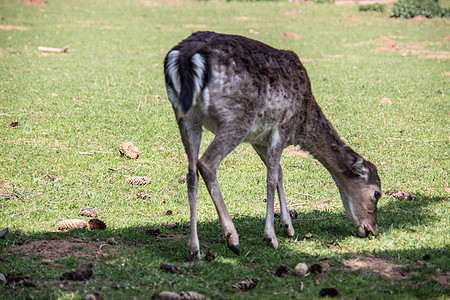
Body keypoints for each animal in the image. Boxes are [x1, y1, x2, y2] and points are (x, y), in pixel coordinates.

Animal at [163, 31, 382, 260]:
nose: (372, 229)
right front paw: (271, 237)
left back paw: (194, 249)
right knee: (206, 164)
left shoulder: (259, 139)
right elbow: (272, 178)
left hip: (185, 117)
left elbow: (278, 172)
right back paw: (232, 238)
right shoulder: (282, 126)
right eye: (377, 193)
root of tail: (184, 58)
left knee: (191, 173)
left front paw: (289, 228)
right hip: (235, 118)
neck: (302, 124)